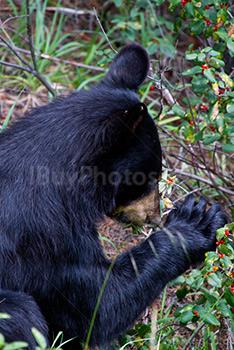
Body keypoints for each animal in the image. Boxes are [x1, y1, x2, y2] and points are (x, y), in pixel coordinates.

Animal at [0, 44, 227, 350]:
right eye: (148, 178)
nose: (154, 216)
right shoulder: (46, 234)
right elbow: (99, 303)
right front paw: (196, 222)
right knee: (21, 312)